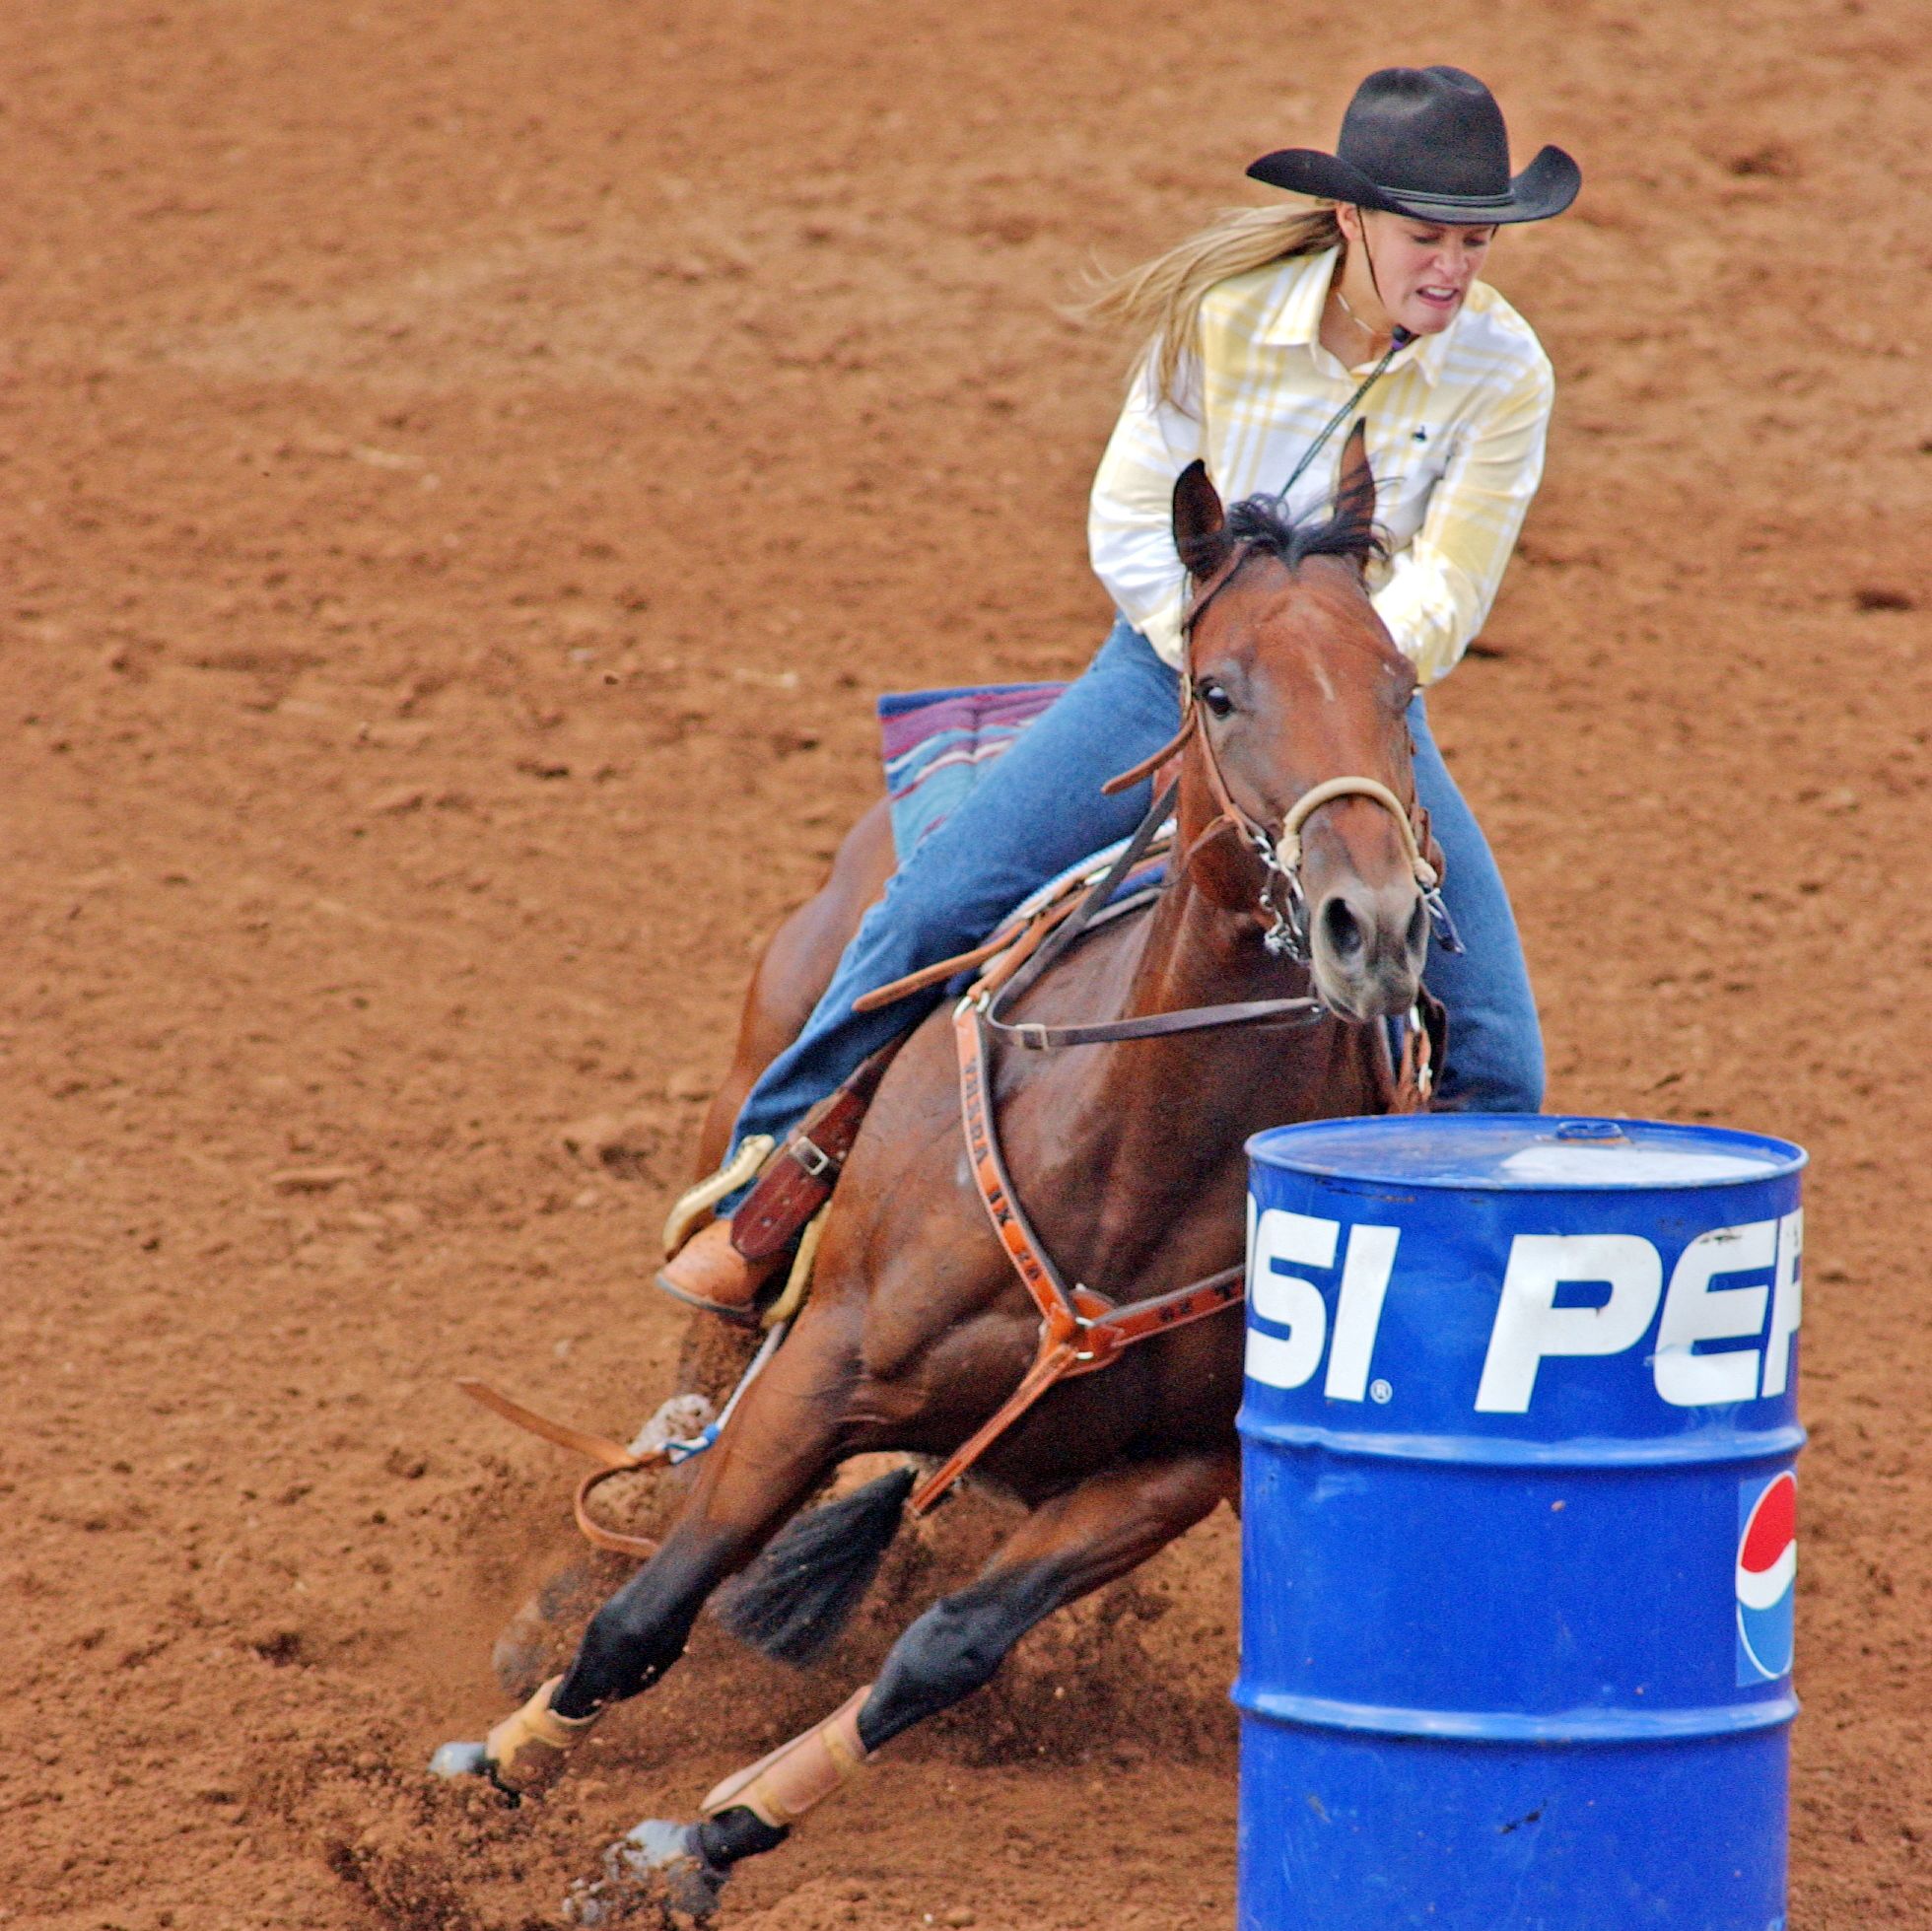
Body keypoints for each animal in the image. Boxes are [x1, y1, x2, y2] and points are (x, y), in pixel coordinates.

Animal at [438, 445, 1437, 1925]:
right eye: (1216, 686)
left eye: (1400, 686)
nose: (1370, 926)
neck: (1129, 1167)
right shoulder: (827, 1363)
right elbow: (656, 1604)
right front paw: (490, 1773)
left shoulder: (1168, 1475)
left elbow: (941, 1651)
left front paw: (695, 1840)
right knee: (698, 1375)